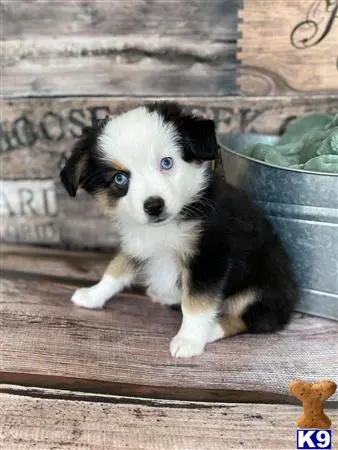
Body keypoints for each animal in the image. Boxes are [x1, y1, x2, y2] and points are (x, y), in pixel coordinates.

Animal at [60, 102, 298, 358]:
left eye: (167, 162)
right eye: (120, 179)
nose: (154, 206)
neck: (166, 225)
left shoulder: (209, 256)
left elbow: (196, 303)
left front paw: (189, 340)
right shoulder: (138, 242)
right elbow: (116, 268)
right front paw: (93, 294)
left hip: (260, 291)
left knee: (253, 320)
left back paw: (210, 330)